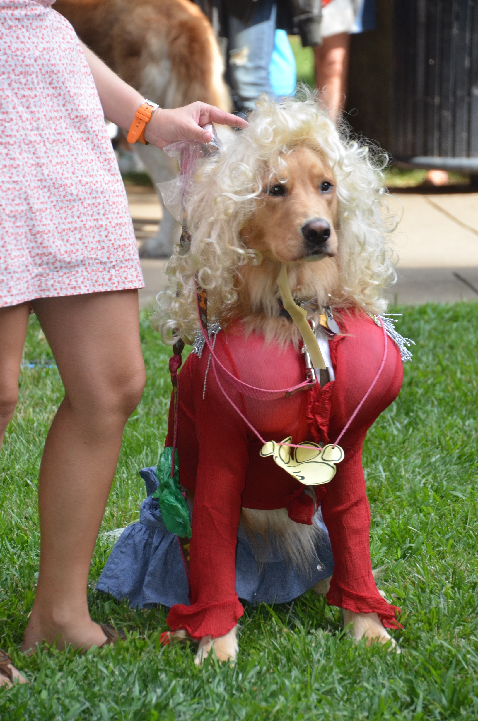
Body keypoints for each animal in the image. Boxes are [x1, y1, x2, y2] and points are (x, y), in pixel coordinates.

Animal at [148, 93, 404, 660]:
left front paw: (368, 629)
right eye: (274, 189)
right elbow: (213, 551)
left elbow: (354, 536)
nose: (318, 231)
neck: (292, 316)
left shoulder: (346, 456)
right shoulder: (221, 456)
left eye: (327, 186)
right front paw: (215, 643)